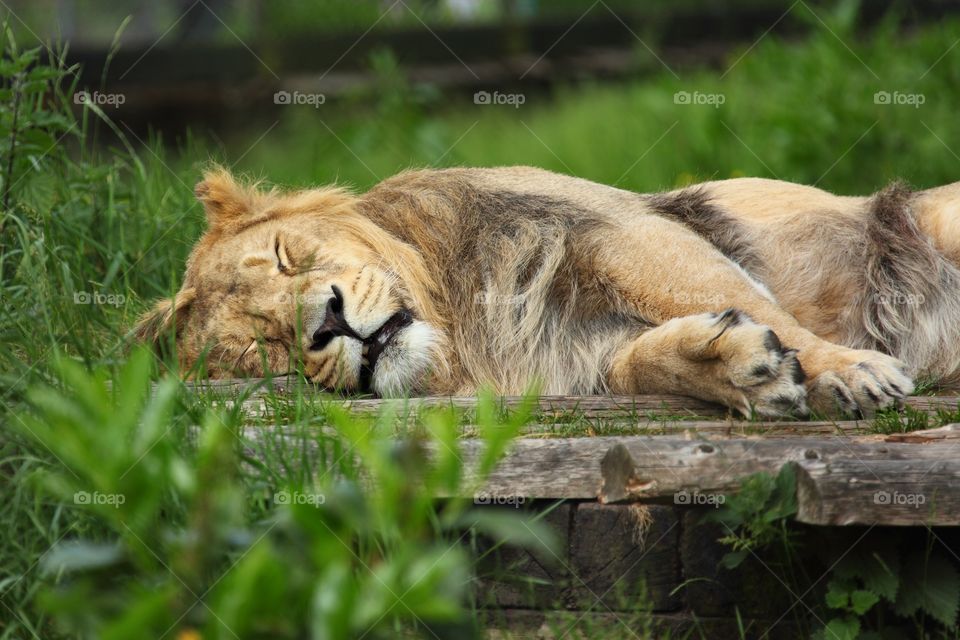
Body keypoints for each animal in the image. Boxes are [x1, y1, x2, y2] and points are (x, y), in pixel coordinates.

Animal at [135, 165, 960, 417]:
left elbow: (749, 298)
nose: (328, 325)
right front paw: (738, 369)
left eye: (285, 256)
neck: (464, 334)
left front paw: (850, 369)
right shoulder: (578, 355)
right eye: (264, 348)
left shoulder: (621, 232)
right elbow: (642, 363)